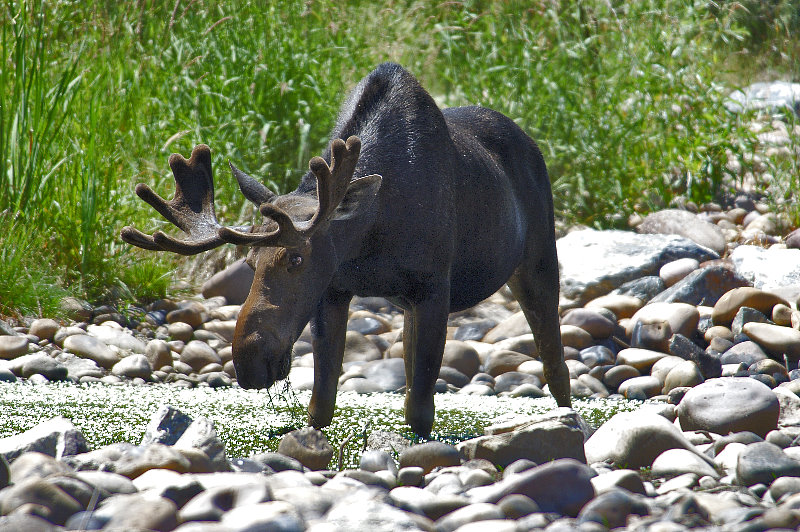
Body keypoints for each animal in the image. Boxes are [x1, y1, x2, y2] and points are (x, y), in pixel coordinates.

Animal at [121, 63, 571, 436]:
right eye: (248, 263)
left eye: (297, 258)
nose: (250, 361)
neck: (371, 235)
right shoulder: (335, 291)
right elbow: (322, 406)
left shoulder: (433, 287)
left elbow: (420, 414)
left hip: (538, 263)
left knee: (557, 366)